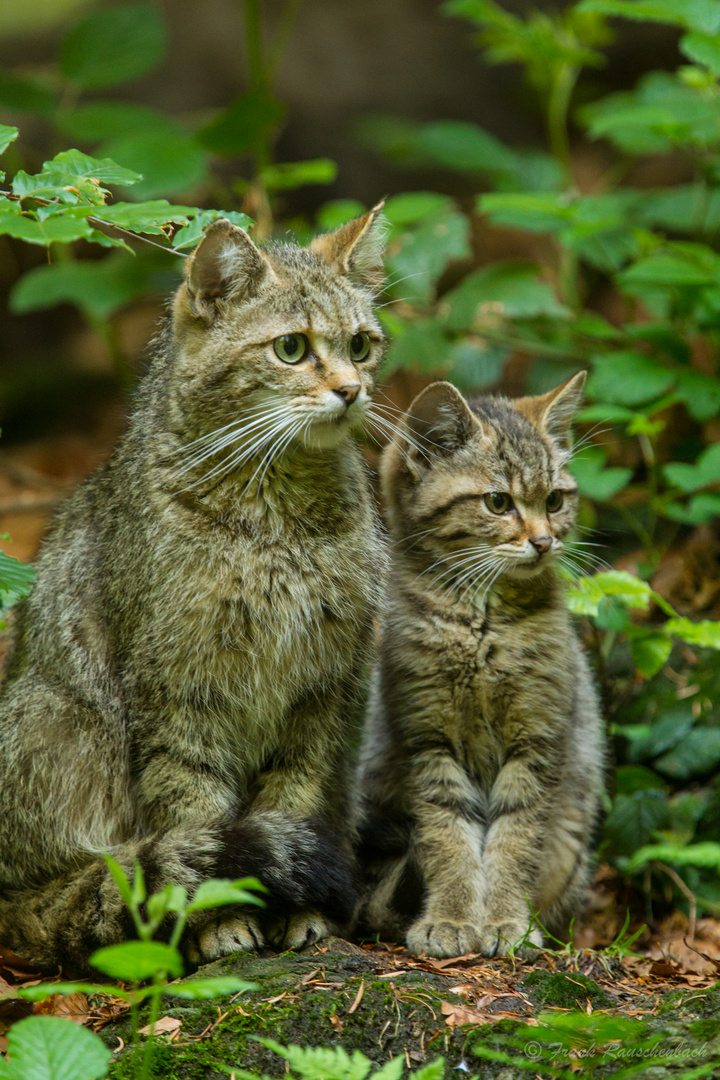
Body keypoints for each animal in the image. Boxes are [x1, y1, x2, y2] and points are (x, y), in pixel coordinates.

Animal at [0, 206, 388, 976]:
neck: (279, 519)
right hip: (55, 716)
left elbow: (293, 804)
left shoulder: (325, 692)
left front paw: (297, 914)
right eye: (292, 348)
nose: (351, 390)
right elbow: (195, 815)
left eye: (361, 345)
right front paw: (222, 923)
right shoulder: (178, 691)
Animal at [358, 375, 604, 959]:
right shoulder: (426, 739)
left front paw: (507, 921)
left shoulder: (538, 739)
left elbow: (515, 840)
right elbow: (446, 837)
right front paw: (449, 918)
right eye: (498, 502)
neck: (483, 629)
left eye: (554, 499)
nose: (544, 540)